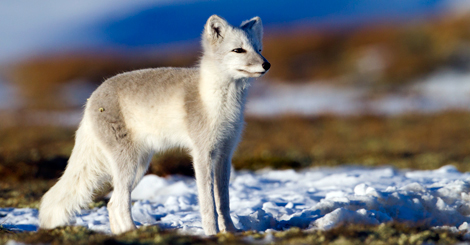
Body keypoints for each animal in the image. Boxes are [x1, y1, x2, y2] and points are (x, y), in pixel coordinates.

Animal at [38, 14, 270, 235]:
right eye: (238, 50)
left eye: (259, 49)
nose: (266, 64)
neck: (221, 103)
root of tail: (92, 98)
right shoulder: (202, 154)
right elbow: (208, 204)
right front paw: (212, 234)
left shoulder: (225, 154)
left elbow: (224, 202)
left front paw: (230, 232)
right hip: (128, 164)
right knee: (118, 204)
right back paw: (134, 232)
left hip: (140, 166)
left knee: (112, 205)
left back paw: (124, 234)